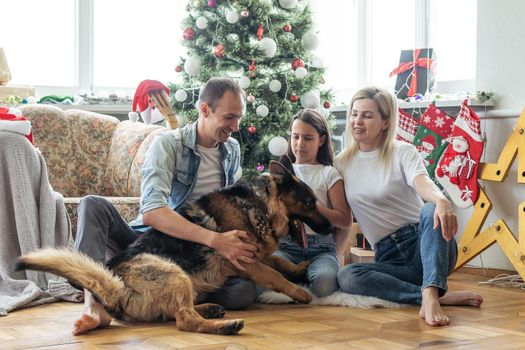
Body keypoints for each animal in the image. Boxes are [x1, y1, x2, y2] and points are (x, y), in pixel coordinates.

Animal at [18, 159, 334, 336]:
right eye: (310, 203)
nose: (332, 227)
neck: (260, 204)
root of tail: (116, 289)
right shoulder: (247, 261)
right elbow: (276, 276)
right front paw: (300, 292)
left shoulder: (257, 255)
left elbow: (279, 261)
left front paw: (299, 268)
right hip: (174, 273)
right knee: (184, 321)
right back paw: (223, 326)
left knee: (180, 311)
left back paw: (210, 310)